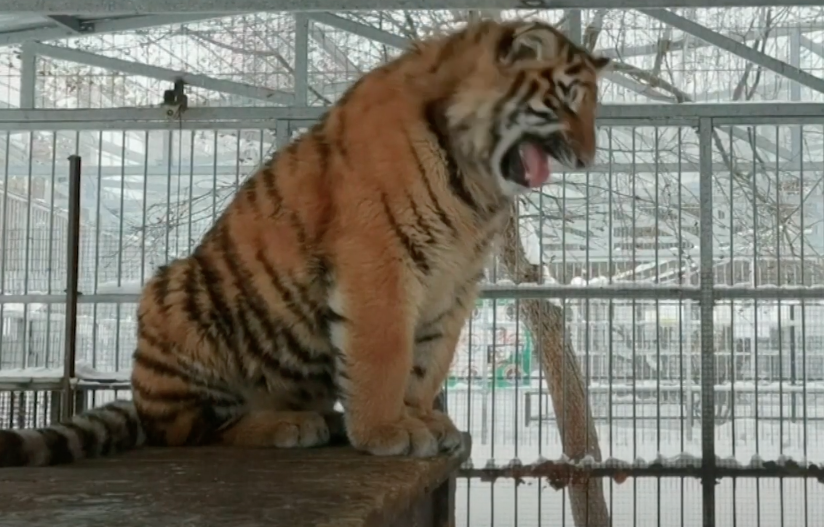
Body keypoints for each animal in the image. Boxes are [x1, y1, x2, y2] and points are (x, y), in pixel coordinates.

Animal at [0, 18, 604, 468]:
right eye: (566, 99)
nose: (589, 158)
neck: (476, 187)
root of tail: (140, 399)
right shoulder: (380, 258)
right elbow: (385, 352)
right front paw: (388, 430)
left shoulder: (456, 282)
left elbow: (429, 361)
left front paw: (425, 419)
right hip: (173, 300)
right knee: (193, 428)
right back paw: (292, 424)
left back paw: (324, 418)